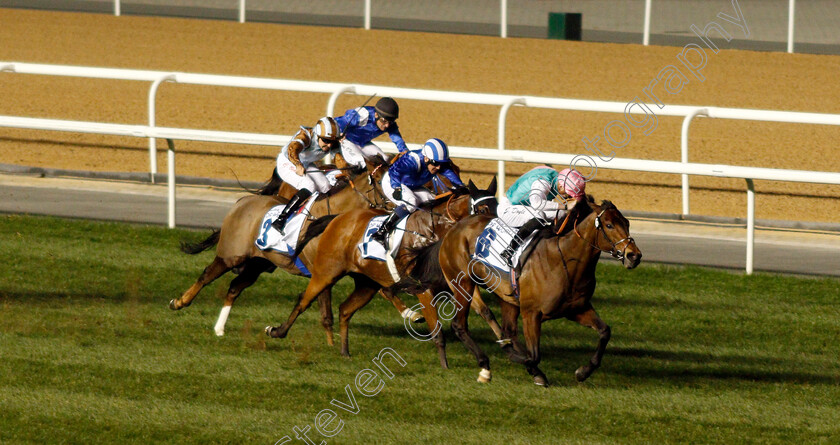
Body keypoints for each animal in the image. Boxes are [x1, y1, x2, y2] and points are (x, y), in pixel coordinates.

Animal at [170, 160, 398, 336]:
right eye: (381, 182)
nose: (401, 207)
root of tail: (242, 201)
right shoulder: (324, 271)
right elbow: (326, 312)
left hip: (259, 263)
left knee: (235, 286)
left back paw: (219, 328)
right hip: (232, 255)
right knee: (207, 275)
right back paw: (179, 302)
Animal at [264, 176, 498, 360]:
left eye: (498, 208)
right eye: (483, 209)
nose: (493, 234)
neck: (433, 230)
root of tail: (337, 219)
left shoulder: (456, 281)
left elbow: (485, 310)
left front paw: (502, 342)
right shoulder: (421, 285)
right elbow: (436, 327)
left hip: (366, 283)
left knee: (345, 309)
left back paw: (344, 351)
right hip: (326, 273)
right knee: (304, 300)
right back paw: (277, 331)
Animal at [410, 195, 640, 386]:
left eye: (627, 223)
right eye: (609, 225)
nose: (634, 256)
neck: (565, 260)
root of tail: (453, 229)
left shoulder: (576, 309)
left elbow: (605, 331)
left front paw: (583, 372)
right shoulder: (532, 312)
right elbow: (534, 355)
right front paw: (518, 359)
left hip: (505, 296)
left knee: (508, 329)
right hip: (462, 283)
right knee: (460, 325)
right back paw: (485, 364)